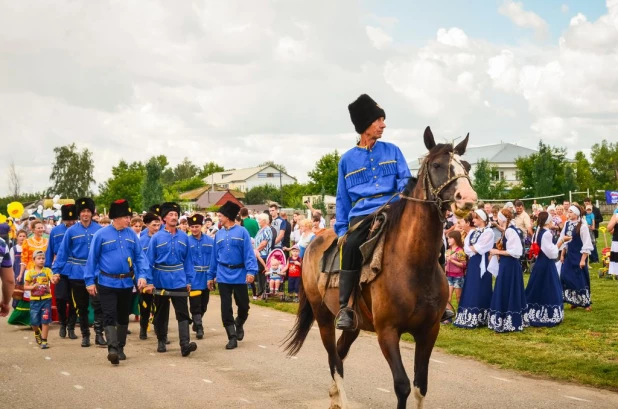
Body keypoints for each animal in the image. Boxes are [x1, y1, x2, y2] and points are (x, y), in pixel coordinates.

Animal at [284, 127, 476, 408]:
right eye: (438, 165)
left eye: (467, 166)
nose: (468, 199)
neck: (414, 265)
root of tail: (314, 241)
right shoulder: (387, 332)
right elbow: (402, 385)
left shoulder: (429, 330)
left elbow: (420, 386)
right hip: (324, 318)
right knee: (334, 360)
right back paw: (340, 400)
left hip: (354, 325)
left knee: (339, 354)